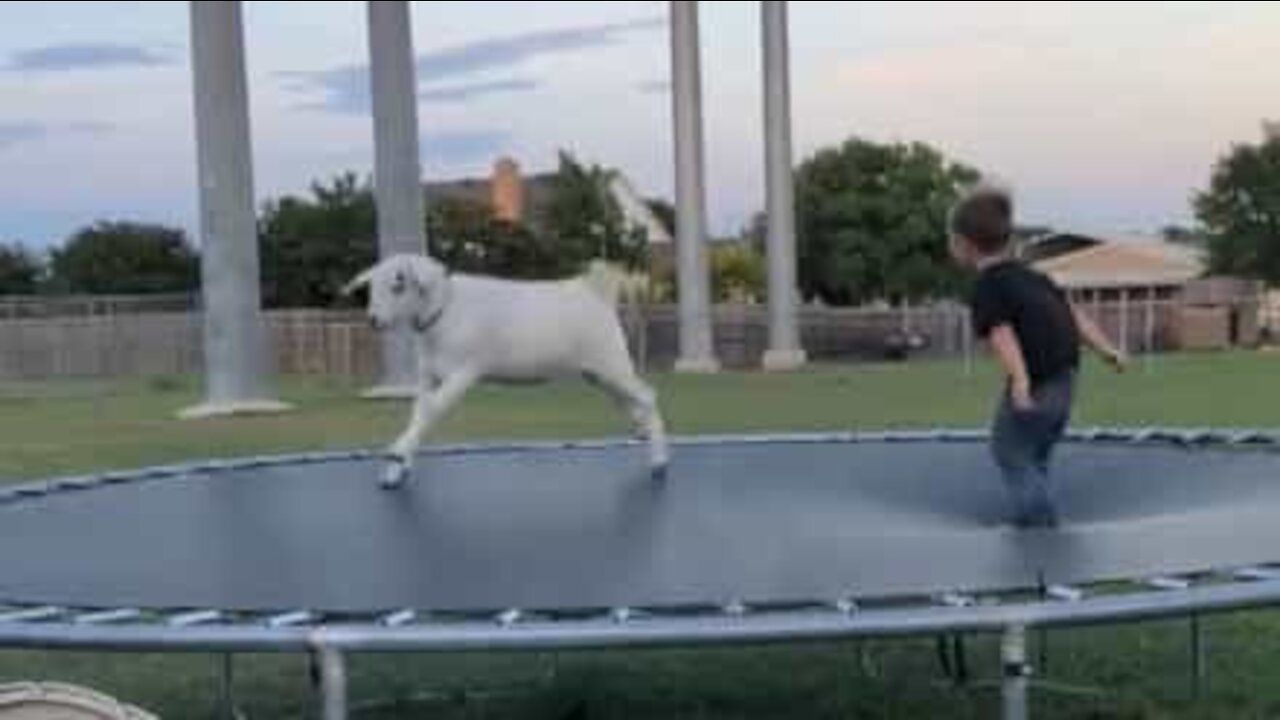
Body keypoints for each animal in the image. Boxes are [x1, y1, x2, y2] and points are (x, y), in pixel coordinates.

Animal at [345, 253, 675, 486]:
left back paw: (659, 462)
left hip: (611, 363)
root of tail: (594, 290)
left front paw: (397, 454)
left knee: (647, 396)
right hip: (599, 373)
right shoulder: (427, 377)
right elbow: (420, 413)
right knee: (629, 401)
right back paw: (641, 432)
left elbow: (432, 412)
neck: (445, 310)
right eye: (371, 286)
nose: (373, 320)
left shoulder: (463, 373)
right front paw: (396, 470)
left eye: (398, 284)